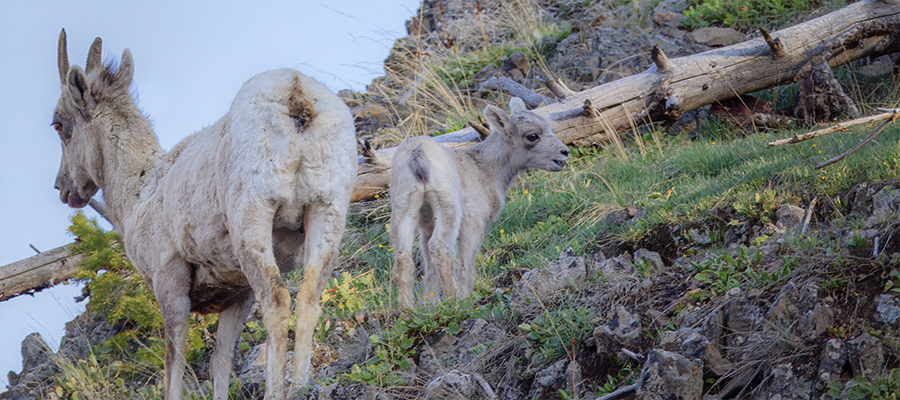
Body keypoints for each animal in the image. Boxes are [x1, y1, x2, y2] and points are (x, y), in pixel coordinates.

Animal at [51, 30, 357, 400]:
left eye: (58, 124)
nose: (64, 188)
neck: (142, 191)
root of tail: (295, 94)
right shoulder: (237, 295)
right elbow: (220, 362)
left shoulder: (170, 283)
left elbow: (175, 365)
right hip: (327, 211)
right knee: (310, 296)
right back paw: (301, 386)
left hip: (254, 218)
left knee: (278, 300)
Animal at [389, 98, 569, 308]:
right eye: (532, 135)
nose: (564, 153)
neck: (486, 169)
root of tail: (417, 154)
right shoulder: (473, 222)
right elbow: (466, 268)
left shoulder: (426, 228)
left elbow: (430, 273)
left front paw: (431, 306)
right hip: (448, 206)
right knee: (441, 248)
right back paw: (455, 302)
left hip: (405, 208)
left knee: (403, 258)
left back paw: (408, 311)